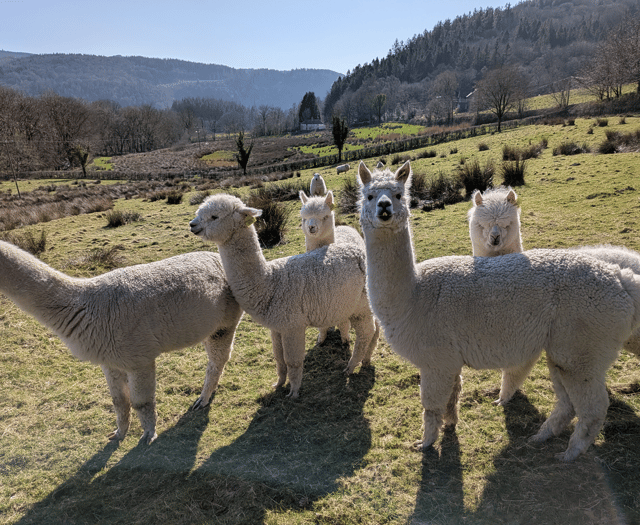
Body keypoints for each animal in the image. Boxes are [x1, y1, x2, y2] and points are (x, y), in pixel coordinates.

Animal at [0, 241, 243, 444]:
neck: (85, 306)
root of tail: (218, 256)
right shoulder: (110, 361)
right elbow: (119, 402)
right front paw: (118, 433)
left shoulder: (139, 358)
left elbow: (141, 402)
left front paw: (148, 435)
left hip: (226, 321)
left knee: (218, 359)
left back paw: (203, 399)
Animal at [299, 189, 370, 345]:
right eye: (304, 218)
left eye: (324, 216)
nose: (311, 228)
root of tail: (343, 226)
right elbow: (322, 326)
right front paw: (321, 339)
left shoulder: (343, 299)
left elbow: (344, 324)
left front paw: (345, 339)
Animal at [356, 160, 640, 461]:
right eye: (369, 196)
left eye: (399, 195)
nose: (384, 207)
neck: (413, 297)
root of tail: (621, 279)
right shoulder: (450, 360)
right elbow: (453, 397)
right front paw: (450, 426)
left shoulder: (436, 359)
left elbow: (431, 407)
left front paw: (425, 444)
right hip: (564, 350)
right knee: (568, 402)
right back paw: (541, 437)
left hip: (583, 346)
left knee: (593, 407)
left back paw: (569, 454)